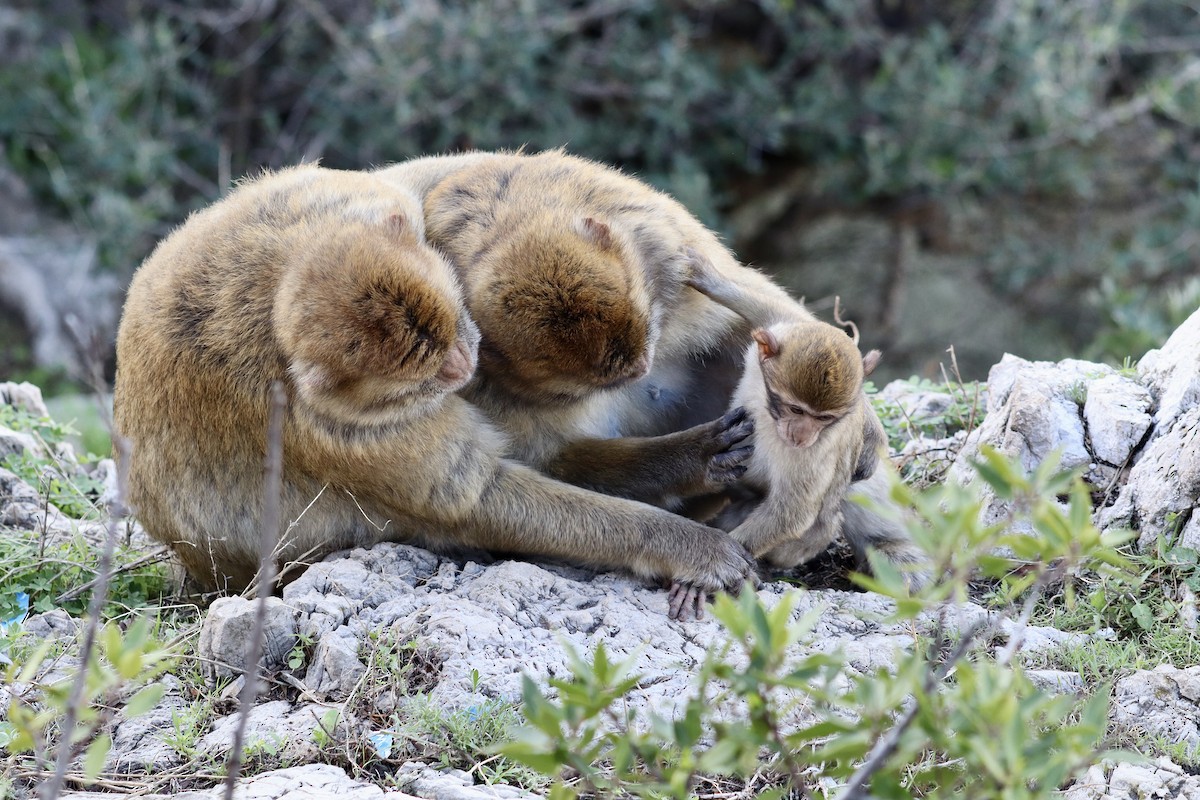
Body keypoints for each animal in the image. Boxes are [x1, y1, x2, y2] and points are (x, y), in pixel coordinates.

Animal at [113, 164, 757, 612]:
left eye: (453, 328)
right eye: (428, 372)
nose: (464, 362)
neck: (278, 278)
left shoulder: (348, 194)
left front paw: (692, 461)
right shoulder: (349, 430)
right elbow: (480, 496)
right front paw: (688, 546)